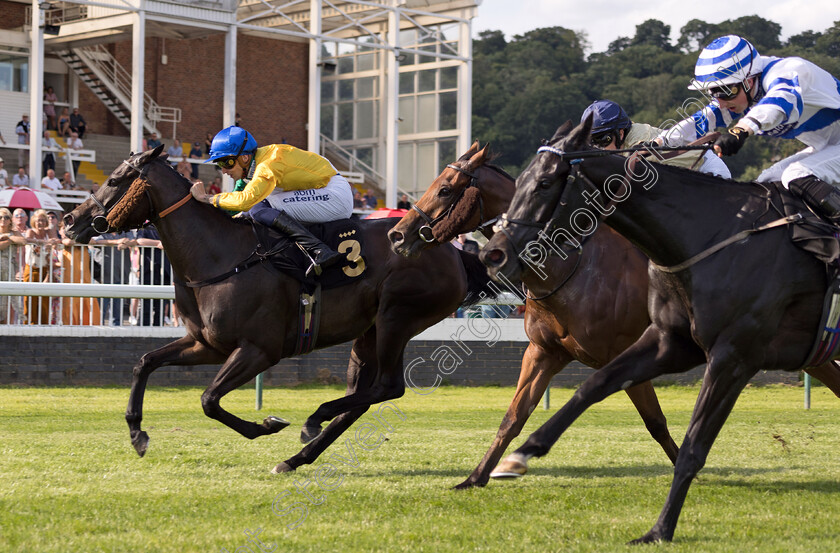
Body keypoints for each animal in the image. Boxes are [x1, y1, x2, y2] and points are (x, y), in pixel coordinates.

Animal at [64, 144, 492, 472]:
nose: (69, 220)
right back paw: (298, 456)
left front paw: (266, 424)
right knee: (363, 396)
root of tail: (451, 250)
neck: (220, 255)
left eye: (115, 179)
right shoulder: (207, 344)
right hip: (367, 333)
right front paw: (137, 433)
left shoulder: (259, 350)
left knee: (388, 386)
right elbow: (145, 363)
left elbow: (208, 399)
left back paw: (313, 419)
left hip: (396, 319)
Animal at [388, 142, 684, 488]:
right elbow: (513, 417)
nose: (397, 234)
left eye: (445, 189)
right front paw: (476, 476)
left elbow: (656, 421)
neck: (570, 268)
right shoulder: (543, 353)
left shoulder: (625, 355)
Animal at [482, 117, 840, 544]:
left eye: (545, 183)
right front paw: (516, 458)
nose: (492, 254)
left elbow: (691, 445)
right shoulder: (667, 343)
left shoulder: (733, 357)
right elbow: (590, 388)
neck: (708, 237)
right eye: (520, 180)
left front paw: (660, 529)